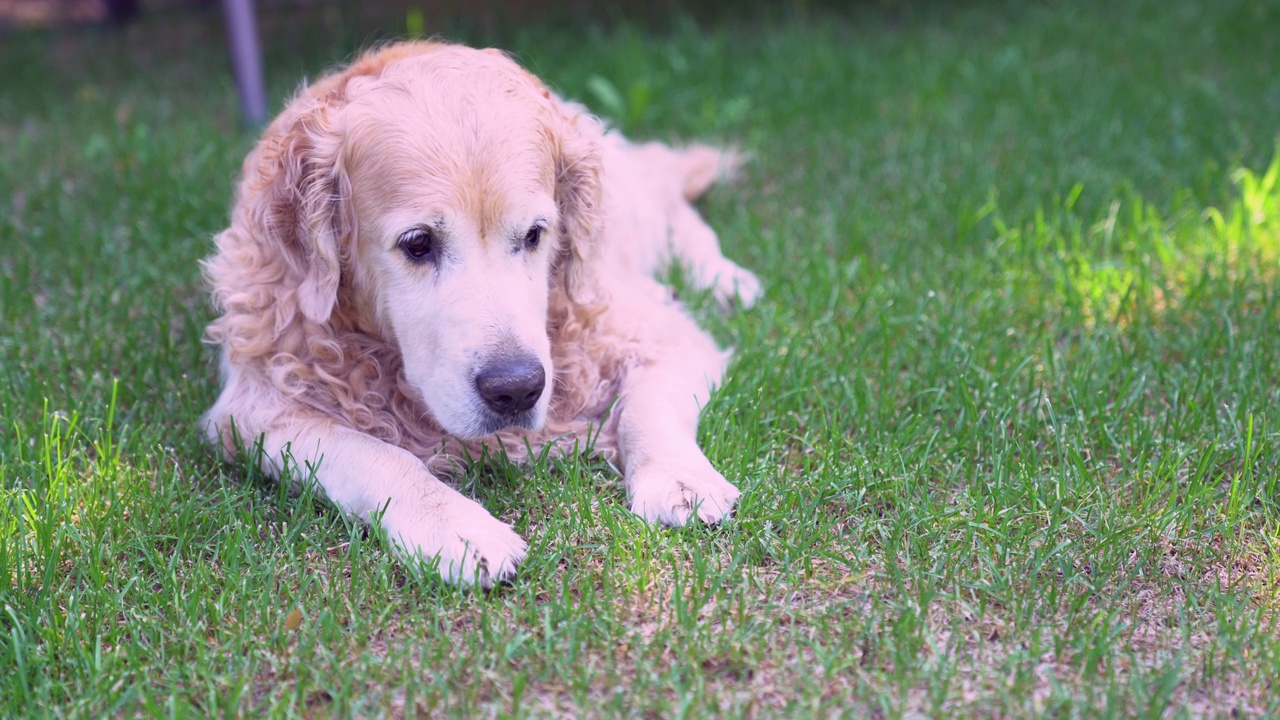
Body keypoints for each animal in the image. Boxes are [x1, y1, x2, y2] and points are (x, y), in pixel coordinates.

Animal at [199, 41, 757, 586]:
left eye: (534, 235)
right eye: (417, 243)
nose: (517, 390)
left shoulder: (658, 335)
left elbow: (649, 406)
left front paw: (680, 480)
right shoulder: (253, 407)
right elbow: (375, 453)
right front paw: (458, 528)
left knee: (674, 204)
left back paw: (726, 278)